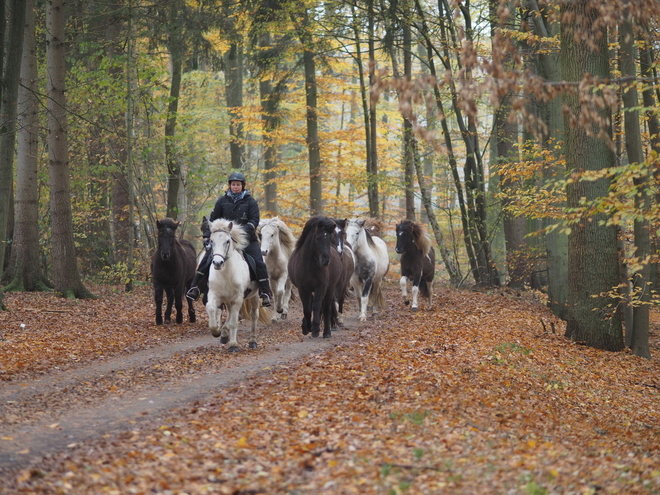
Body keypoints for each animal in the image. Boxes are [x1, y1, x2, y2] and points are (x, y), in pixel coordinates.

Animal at [205, 219, 262, 350]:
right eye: (211, 241)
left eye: (227, 241)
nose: (217, 263)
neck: (225, 273)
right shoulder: (214, 294)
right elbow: (210, 307)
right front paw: (216, 331)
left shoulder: (237, 298)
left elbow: (234, 322)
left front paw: (233, 345)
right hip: (227, 300)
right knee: (230, 313)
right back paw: (224, 334)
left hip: (254, 296)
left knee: (253, 315)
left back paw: (252, 341)